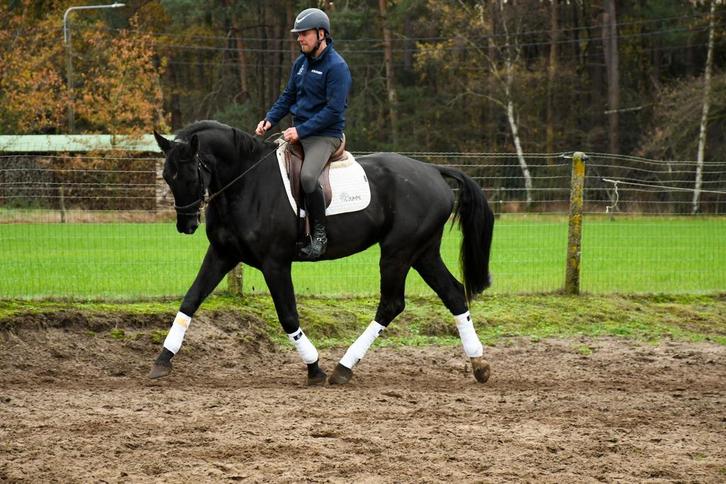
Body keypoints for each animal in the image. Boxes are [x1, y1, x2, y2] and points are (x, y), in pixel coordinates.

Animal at [150, 120, 494, 385]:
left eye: (190, 175)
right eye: (167, 177)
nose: (186, 224)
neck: (246, 182)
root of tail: (432, 170)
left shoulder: (275, 263)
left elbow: (288, 316)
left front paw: (314, 368)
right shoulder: (222, 254)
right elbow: (190, 301)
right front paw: (162, 360)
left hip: (397, 252)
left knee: (391, 305)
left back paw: (343, 368)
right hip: (423, 253)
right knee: (453, 294)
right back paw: (479, 365)